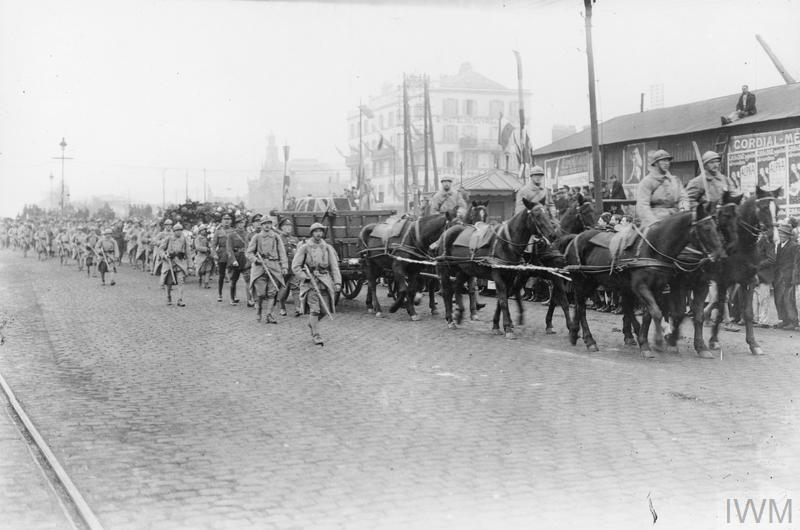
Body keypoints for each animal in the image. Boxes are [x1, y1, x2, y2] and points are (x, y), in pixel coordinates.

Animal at [438, 198, 556, 338]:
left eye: (548, 214)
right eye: (537, 215)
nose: (553, 235)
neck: (506, 244)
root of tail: (447, 232)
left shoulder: (510, 277)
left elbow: (501, 300)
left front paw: (497, 325)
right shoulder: (498, 276)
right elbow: (503, 300)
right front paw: (508, 328)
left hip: (464, 269)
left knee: (456, 287)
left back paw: (459, 313)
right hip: (445, 269)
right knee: (447, 291)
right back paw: (450, 319)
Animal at [564, 200, 728, 356]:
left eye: (716, 227)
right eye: (707, 229)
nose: (720, 255)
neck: (653, 249)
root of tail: (576, 238)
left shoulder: (661, 287)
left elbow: (653, 314)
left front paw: (647, 341)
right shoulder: (643, 286)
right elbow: (658, 312)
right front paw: (658, 341)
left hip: (597, 283)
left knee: (606, 306)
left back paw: (577, 333)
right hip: (581, 282)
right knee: (581, 308)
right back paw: (589, 340)